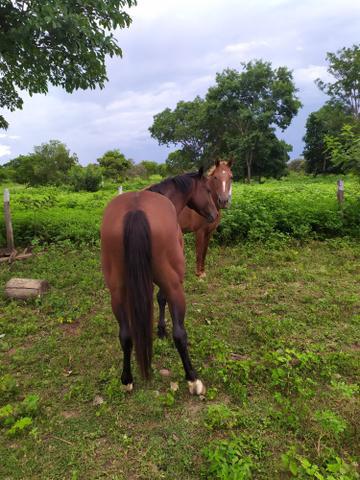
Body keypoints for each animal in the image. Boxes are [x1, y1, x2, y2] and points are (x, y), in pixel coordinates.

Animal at [100, 168, 217, 394]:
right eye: (208, 189)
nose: (214, 214)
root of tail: (136, 211)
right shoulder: (168, 283)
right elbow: (161, 299)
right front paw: (162, 330)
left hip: (117, 293)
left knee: (125, 336)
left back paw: (127, 379)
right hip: (175, 287)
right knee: (180, 334)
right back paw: (192, 379)